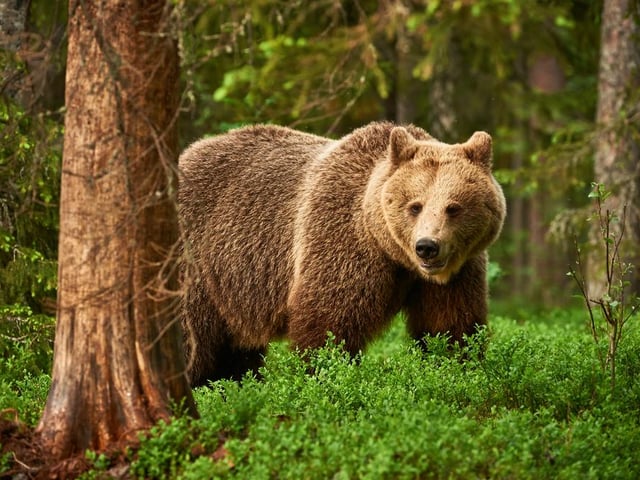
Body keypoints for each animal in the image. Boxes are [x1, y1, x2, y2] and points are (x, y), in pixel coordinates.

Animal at [179, 122, 506, 386]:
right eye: (415, 205)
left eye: (453, 207)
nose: (427, 246)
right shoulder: (341, 241)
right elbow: (329, 325)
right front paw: (326, 375)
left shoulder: (458, 273)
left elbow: (449, 326)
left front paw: (455, 368)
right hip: (198, 262)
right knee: (193, 340)